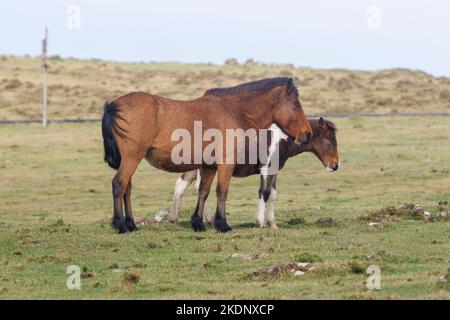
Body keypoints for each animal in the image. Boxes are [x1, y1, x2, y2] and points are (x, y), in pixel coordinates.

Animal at [103, 77, 312, 232]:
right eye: (295, 104)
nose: (307, 134)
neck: (234, 112)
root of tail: (113, 105)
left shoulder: (208, 166)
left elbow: (203, 191)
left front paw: (198, 223)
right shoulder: (226, 163)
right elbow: (222, 191)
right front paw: (222, 224)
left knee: (127, 188)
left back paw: (131, 224)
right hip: (132, 158)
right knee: (119, 185)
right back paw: (121, 225)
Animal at [160, 117, 340, 228]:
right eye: (329, 140)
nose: (336, 165)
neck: (280, 139)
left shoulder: (275, 170)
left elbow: (272, 194)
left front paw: (273, 223)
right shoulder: (267, 168)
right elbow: (264, 192)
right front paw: (261, 222)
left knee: (183, 185)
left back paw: (177, 219)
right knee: (196, 186)